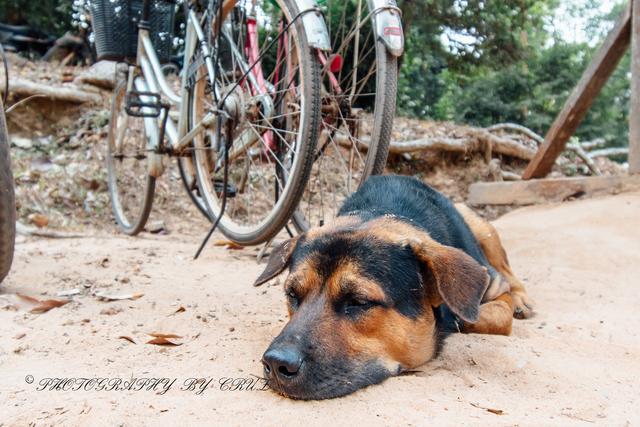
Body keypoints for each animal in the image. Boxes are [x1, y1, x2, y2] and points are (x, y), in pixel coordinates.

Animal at [252, 175, 532, 402]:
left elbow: (488, 315)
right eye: (292, 294)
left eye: (359, 301)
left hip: (481, 227)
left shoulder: (493, 285)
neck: (378, 213)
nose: (276, 364)